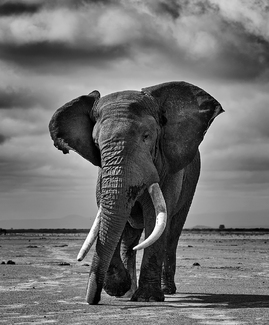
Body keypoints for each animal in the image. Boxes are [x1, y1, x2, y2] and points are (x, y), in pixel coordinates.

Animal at [48, 81, 222, 304]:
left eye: (146, 137)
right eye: (96, 143)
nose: (92, 299)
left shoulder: (170, 168)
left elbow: (155, 218)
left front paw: (147, 298)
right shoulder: (102, 173)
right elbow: (108, 215)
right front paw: (119, 289)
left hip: (191, 183)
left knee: (172, 232)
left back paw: (166, 290)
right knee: (129, 239)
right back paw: (129, 292)